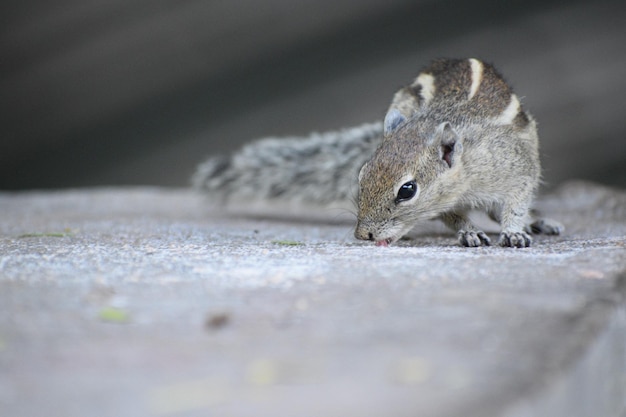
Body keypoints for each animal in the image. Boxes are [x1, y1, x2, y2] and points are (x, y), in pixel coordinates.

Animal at [193, 58, 564, 247]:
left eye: (407, 190)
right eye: (362, 175)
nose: (364, 235)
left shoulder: (516, 168)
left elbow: (517, 201)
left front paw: (515, 230)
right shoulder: (448, 201)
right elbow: (452, 216)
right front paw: (468, 231)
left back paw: (537, 223)